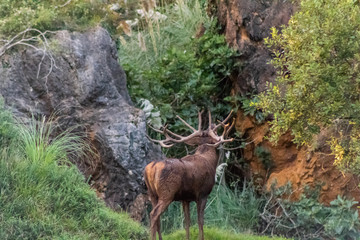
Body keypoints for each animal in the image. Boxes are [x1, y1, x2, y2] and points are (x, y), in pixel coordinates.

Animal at [143, 110, 233, 240]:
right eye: (216, 133)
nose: (212, 125)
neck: (209, 161)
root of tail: (152, 168)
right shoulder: (203, 194)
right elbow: (200, 221)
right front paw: (201, 238)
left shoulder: (185, 198)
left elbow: (187, 222)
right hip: (167, 193)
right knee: (154, 214)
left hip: (152, 194)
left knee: (157, 216)